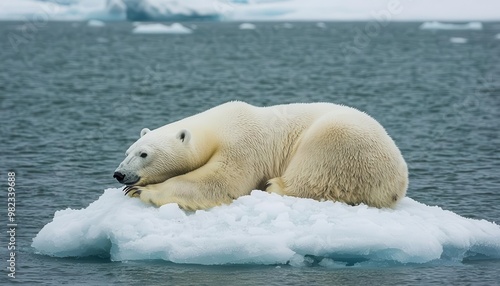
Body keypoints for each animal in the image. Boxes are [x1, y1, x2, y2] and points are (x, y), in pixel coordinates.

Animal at [113, 100, 406, 210]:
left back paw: (275, 185)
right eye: (127, 151)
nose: (119, 174)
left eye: (144, 154)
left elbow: (220, 182)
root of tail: (399, 181)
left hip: (341, 142)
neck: (219, 126)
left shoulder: (242, 144)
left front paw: (141, 190)